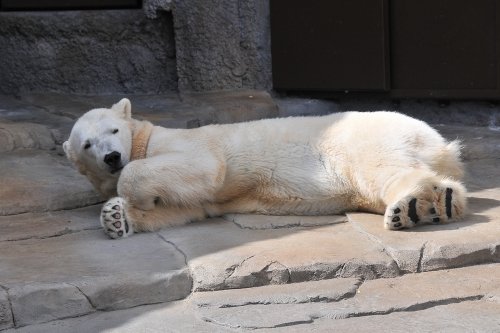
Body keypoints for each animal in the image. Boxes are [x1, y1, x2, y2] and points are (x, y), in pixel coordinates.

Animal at [63, 97, 468, 237]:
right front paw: (117, 217)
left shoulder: (185, 146)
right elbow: (188, 207)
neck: (143, 139)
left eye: (114, 130)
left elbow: (203, 169)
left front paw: (130, 198)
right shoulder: (196, 197)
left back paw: (415, 205)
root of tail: (437, 142)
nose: (112, 157)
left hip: (366, 140)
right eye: (87, 144)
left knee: (384, 170)